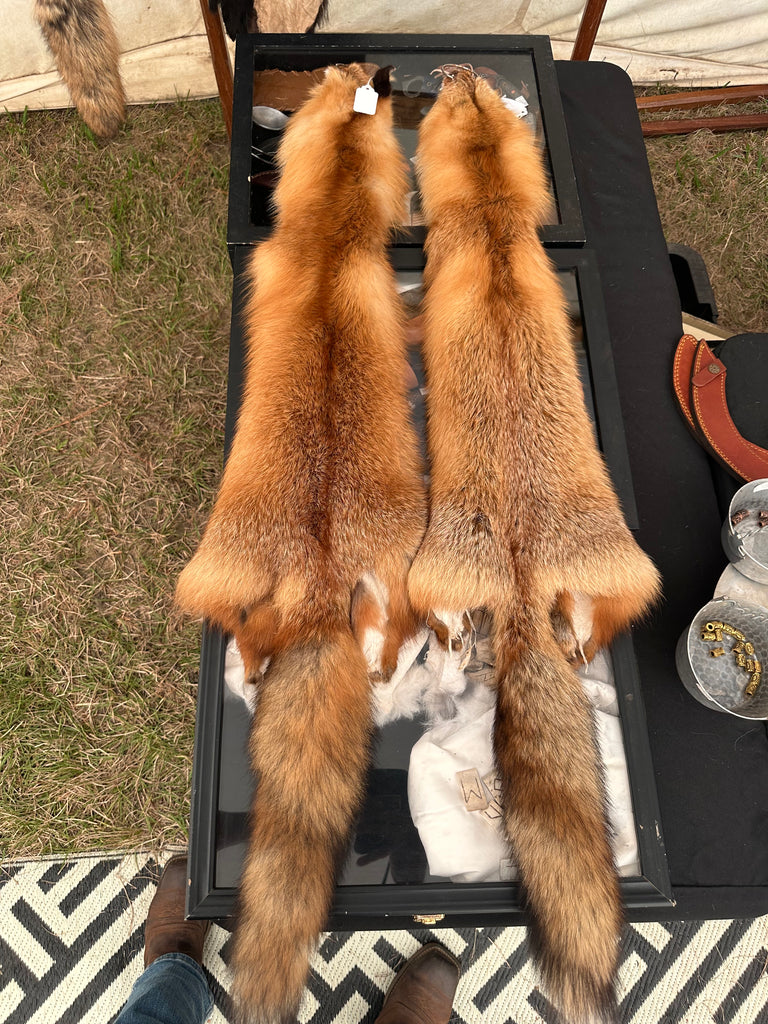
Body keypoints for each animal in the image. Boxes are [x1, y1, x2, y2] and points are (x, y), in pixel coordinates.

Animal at [175, 64, 426, 1023]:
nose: (363, 70)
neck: (327, 246)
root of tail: (319, 585)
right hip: (391, 585)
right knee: (368, 648)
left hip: (220, 577)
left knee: (248, 640)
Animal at [407, 67, 661, 1023]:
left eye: (465, 94)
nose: (451, 70)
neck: (489, 219)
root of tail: (518, 576)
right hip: (619, 579)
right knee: (594, 631)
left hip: (430, 577)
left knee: (449, 631)